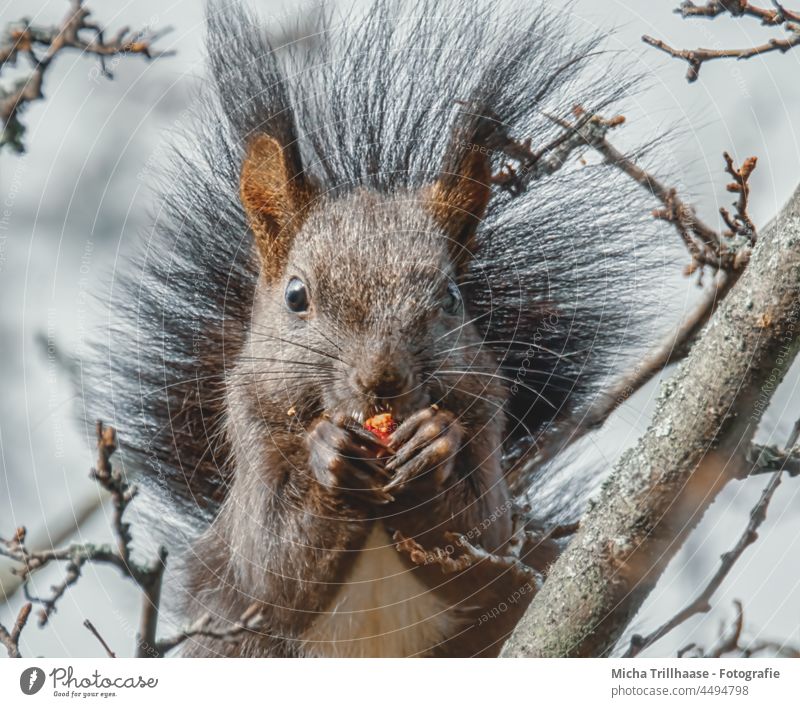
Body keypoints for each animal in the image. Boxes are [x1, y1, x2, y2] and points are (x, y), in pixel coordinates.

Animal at [86, 0, 664, 660]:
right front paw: (329, 456)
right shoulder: (250, 434)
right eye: (296, 296)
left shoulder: (486, 417)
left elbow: (483, 533)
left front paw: (432, 446)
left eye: (451, 298)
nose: (382, 379)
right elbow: (271, 563)